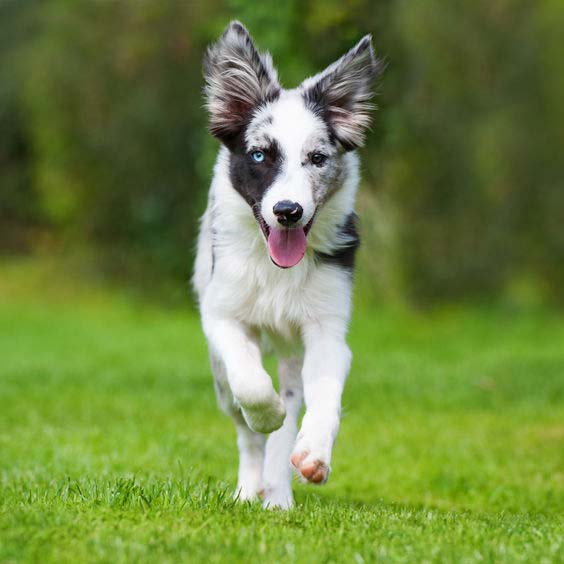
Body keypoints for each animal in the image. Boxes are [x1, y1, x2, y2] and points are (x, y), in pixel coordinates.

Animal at [194, 20, 384, 506]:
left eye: (317, 158)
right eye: (260, 155)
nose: (288, 211)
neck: (276, 268)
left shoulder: (326, 329)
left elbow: (326, 394)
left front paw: (314, 454)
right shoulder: (221, 314)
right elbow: (250, 383)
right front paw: (267, 414)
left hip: (292, 355)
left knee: (290, 413)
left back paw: (278, 495)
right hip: (219, 376)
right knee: (245, 429)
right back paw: (250, 488)